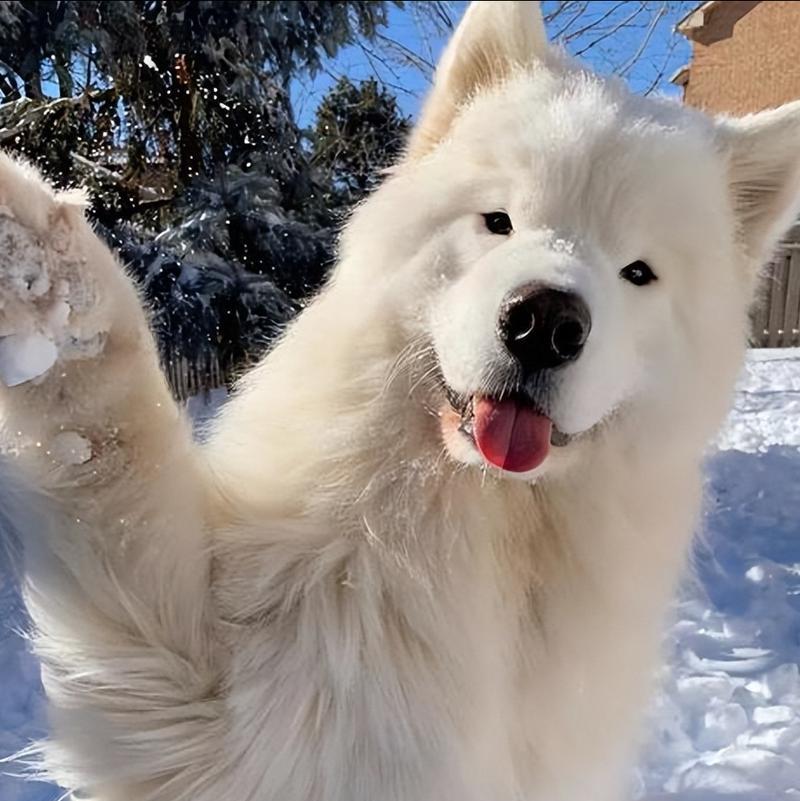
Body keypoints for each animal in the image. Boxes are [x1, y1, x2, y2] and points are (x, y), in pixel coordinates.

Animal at [1, 1, 800, 800]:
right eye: (498, 221)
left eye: (638, 271)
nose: (545, 322)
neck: (490, 519)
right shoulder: (214, 709)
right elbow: (112, 445)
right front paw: (35, 260)